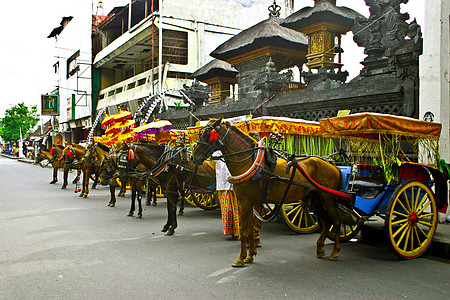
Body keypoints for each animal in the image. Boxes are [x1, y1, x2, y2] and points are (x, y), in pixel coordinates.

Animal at [192, 118, 342, 268]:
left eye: (206, 134)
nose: (194, 157)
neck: (249, 162)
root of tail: (333, 166)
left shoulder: (246, 203)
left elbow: (245, 230)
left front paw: (240, 258)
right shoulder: (248, 203)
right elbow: (250, 228)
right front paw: (250, 255)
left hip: (327, 197)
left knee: (336, 221)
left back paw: (335, 252)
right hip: (313, 199)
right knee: (327, 221)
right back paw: (320, 248)